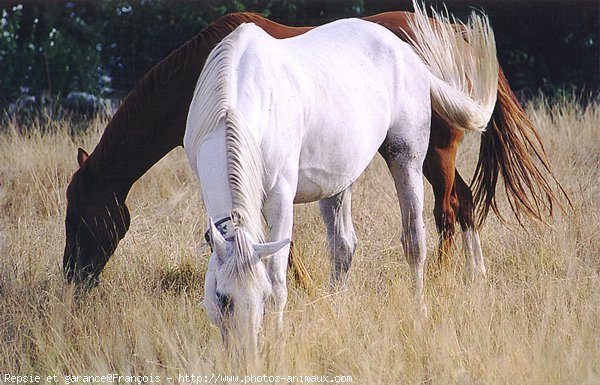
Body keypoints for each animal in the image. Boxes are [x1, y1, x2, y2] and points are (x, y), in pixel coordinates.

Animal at [63, 10, 568, 286]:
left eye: (80, 216)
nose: (72, 276)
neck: (202, 73)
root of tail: (456, 35)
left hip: (431, 152)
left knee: (444, 212)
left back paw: (442, 282)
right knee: (464, 203)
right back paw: (475, 276)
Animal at [185, 5, 500, 352]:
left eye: (263, 297)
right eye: (221, 297)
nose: (247, 354)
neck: (232, 108)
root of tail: (408, 54)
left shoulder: (280, 198)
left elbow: (279, 276)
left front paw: (278, 340)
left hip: (407, 158)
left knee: (415, 241)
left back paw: (420, 312)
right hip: (338, 179)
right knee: (343, 248)